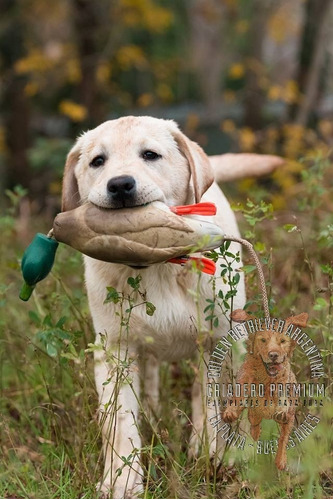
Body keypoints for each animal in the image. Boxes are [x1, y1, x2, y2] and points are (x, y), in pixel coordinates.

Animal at [61, 116, 278, 496]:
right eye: (97, 161)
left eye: (150, 155)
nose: (120, 185)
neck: (158, 266)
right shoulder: (113, 347)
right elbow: (119, 421)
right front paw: (122, 481)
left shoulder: (218, 339)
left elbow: (212, 401)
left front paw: (212, 454)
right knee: (147, 381)